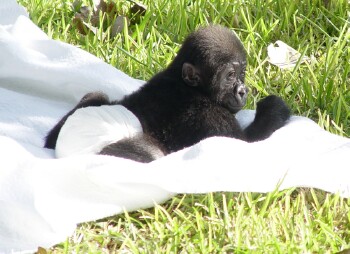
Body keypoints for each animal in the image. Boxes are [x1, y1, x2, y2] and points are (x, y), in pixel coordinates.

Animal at [44, 24, 290, 162]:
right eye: (229, 76)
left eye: (242, 73)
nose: (242, 90)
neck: (190, 84)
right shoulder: (210, 115)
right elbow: (244, 144)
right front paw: (274, 108)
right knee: (151, 153)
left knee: (97, 97)